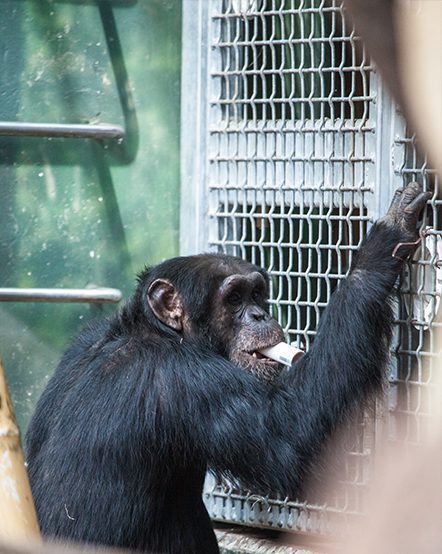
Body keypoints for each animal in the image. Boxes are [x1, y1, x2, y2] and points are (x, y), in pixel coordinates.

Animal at [26, 183, 428, 548]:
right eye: (234, 298)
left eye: (256, 293)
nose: (259, 314)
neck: (158, 333)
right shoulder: (184, 379)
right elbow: (288, 436)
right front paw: (379, 250)